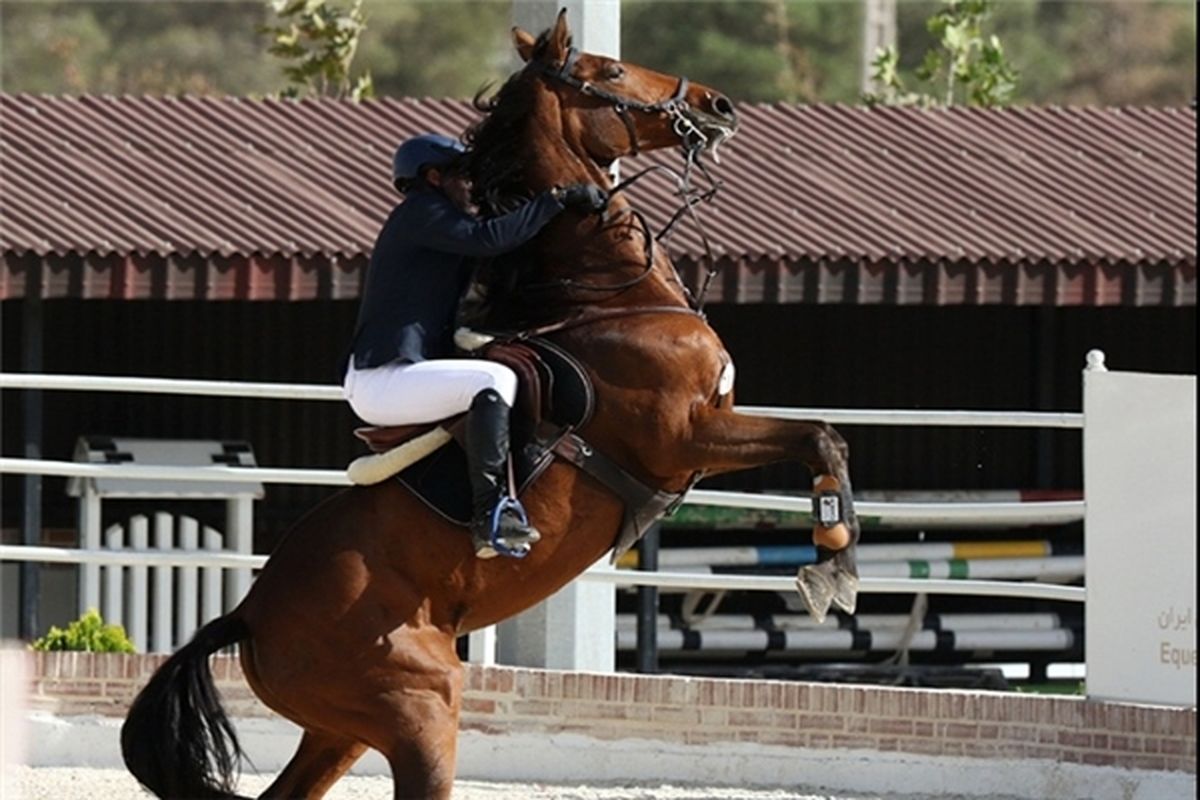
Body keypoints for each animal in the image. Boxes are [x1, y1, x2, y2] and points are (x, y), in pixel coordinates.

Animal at [121, 10, 864, 796]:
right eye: (610, 71)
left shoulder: (704, 433)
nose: (717, 105)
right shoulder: (684, 437)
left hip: (338, 732)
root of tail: (248, 614)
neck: (611, 297)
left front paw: (836, 566)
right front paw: (831, 567)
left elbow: (825, 439)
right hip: (420, 705)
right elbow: (819, 436)